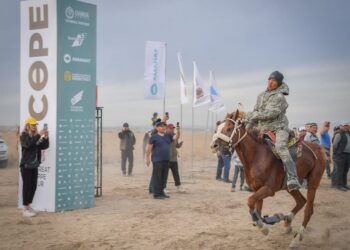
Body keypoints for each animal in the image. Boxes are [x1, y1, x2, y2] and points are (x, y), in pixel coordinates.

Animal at [211, 112, 326, 248]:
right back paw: (286, 220)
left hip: (313, 183)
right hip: (290, 187)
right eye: (218, 128)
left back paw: (296, 239)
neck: (257, 155)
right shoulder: (257, 189)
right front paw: (271, 219)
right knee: (301, 201)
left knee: (308, 210)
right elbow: (256, 211)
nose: (214, 145)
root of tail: (319, 148)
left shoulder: (268, 189)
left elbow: (251, 202)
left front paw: (264, 227)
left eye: (229, 128)